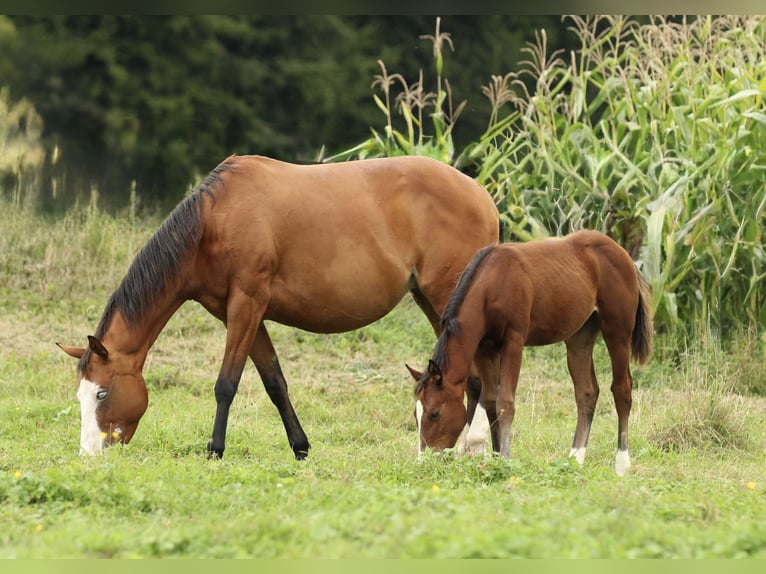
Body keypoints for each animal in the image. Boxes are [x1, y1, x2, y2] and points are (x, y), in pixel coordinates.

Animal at [57, 154, 500, 459]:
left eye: (101, 393)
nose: (89, 453)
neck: (213, 221)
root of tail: (482, 196)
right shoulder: (240, 313)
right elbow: (274, 382)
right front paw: (300, 447)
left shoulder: (246, 305)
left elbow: (226, 384)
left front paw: (215, 450)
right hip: (430, 300)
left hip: (445, 298)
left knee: (478, 377)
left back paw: (474, 446)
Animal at [408, 230, 653, 476]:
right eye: (416, 415)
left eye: (434, 413)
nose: (423, 461)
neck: (491, 285)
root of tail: (625, 256)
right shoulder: (484, 349)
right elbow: (491, 401)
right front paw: (495, 458)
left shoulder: (514, 342)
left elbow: (506, 402)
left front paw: (505, 461)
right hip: (579, 337)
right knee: (587, 392)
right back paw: (574, 458)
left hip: (617, 331)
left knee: (622, 389)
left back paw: (621, 463)